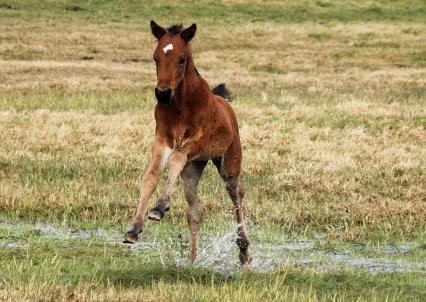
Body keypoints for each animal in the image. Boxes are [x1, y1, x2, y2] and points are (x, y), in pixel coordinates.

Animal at [121, 20, 251, 264]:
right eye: (155, 58)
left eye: (181, 59)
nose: (162, 93)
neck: (180, 104)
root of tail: (225, 104)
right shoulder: (162, 138)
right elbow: (150, 176)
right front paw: (134, 228)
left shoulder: (197, 141)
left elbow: (176, 157)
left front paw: (160, 207)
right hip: (193, 168)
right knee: (195, 209)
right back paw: (193, 260)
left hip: (228, 162)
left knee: (236, 192)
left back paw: (244, 250)